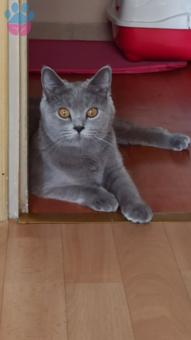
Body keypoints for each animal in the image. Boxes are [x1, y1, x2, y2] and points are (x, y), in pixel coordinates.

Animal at [29, 65, 190, 223]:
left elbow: (127, 186)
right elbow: (83, 188)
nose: (79, 127)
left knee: (139, 130)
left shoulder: (115, 166)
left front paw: (138, 208)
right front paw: (106, 198)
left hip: (113, 129)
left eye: (92, 112)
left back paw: (178, 139)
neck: (87, 152)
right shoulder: (47, 185)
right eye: (63, 113)